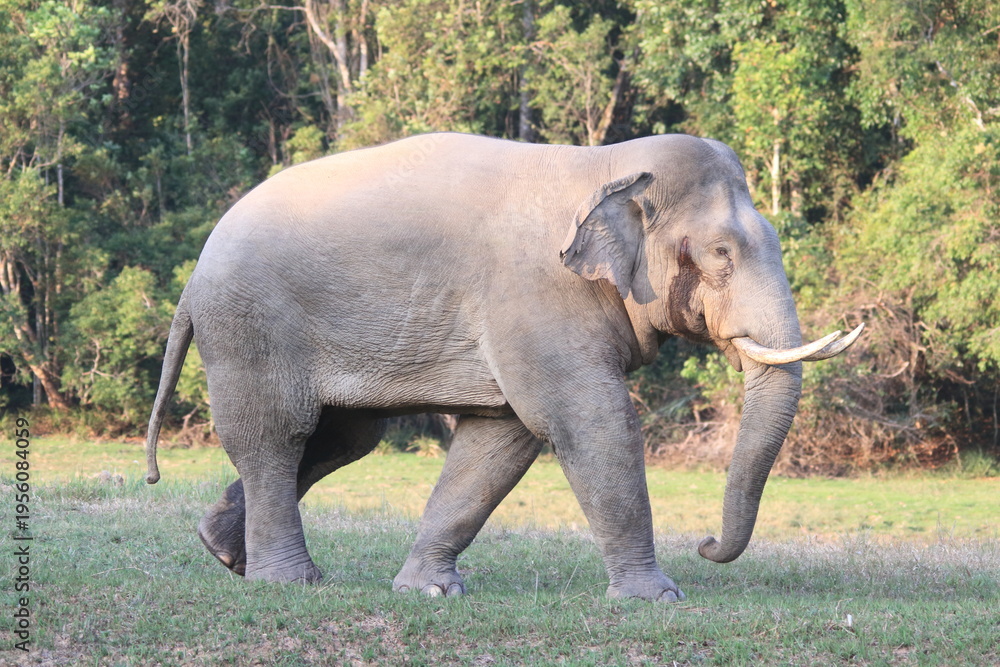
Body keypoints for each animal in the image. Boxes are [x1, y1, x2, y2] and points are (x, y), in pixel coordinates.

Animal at [145, 132, 862, 601]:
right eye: (719, 254)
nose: (707, 544)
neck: (604, 164)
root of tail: (194, 274)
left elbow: (500, 440)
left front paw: (428, 591)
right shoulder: (535, 296)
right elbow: (590, 422)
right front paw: (655, 598)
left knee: (341, 438)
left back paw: (222, 550)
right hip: (251, 327)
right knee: (278, 435)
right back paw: (291, 582)